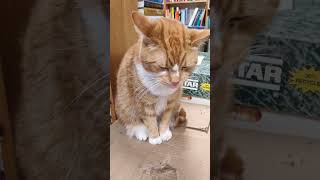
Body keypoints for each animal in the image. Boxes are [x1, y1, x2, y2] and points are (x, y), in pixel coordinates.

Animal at [115, 11, 210, 145]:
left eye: (184, 67)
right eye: (163, 67)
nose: (175, 82)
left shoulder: (171, 101)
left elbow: (165, 118)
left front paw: (164, 132)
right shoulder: (144, 102)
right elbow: (150, 120)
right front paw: (155, 137)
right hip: (124, 105)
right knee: (132, 121)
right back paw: (141, 132)